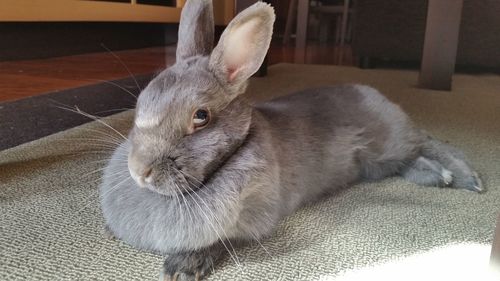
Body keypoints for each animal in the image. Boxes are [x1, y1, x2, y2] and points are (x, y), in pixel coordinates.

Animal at [98, 1, 484, 278]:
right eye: (142, 100)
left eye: (201, 117)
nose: (139, 172)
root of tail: (375, 93)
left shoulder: (258, 214)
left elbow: (225, 239)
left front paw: (183, 267)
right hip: (377, 164)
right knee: (411, 160)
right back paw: (438, 176)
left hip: (392, 142)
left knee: (430, 143)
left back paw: (467, 179)